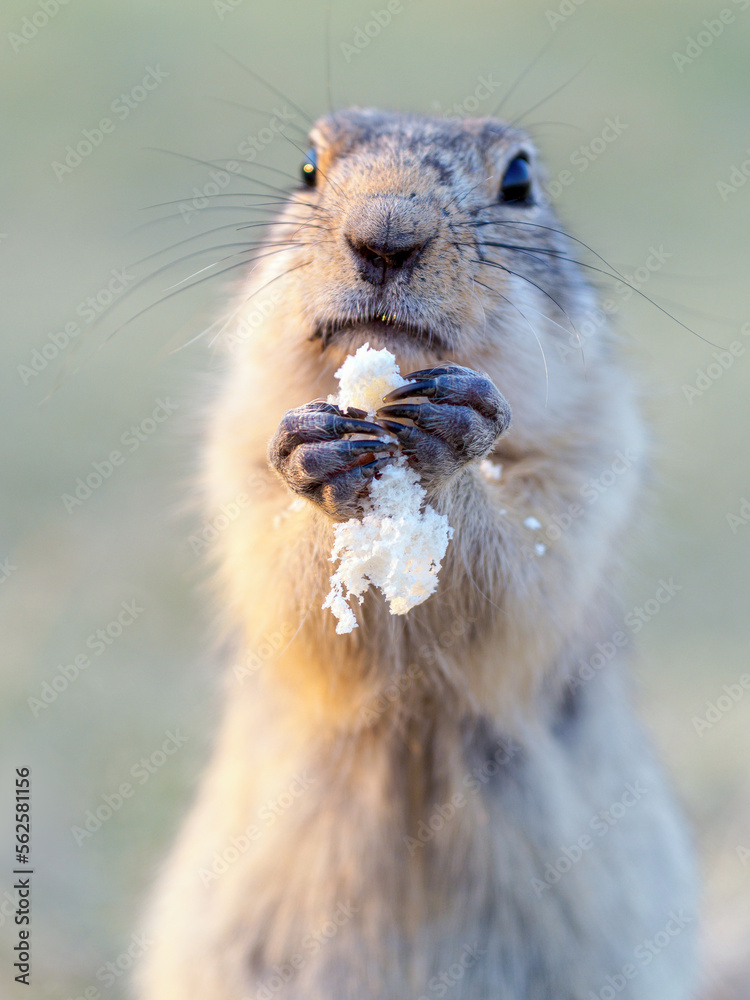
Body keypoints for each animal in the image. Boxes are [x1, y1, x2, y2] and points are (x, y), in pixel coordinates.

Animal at [135, 109, 700, 1000]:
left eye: (520, 179)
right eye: (307, 166)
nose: (386, 235)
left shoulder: (595, 458)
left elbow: (523, 586)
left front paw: (450, 427)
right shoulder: (232, 454)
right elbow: (292, 598)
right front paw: (317, 451)